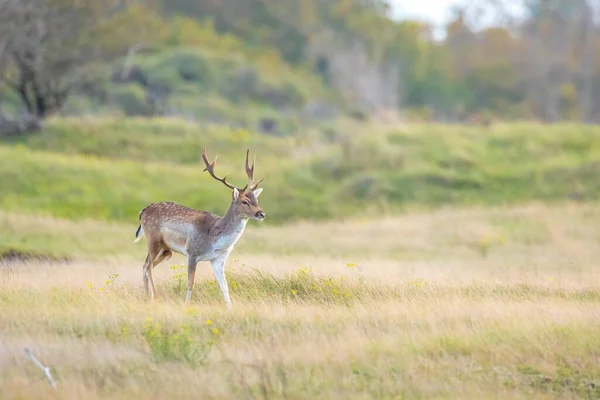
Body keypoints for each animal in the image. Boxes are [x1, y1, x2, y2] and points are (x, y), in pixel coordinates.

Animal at [134, 148, 264, 308]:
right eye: (245, 201)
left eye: (256, 200)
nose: (261, 213)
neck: (215, 238)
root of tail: (143, 211)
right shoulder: (192, 252)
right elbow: (190, 283)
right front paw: (186, 305)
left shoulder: (218, 259)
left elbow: (224, 286)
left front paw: (230, 308)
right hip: (153, 239)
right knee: (147, 266)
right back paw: (155, 297)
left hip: (166, 249)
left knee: (146, 266)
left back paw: (147, 297)